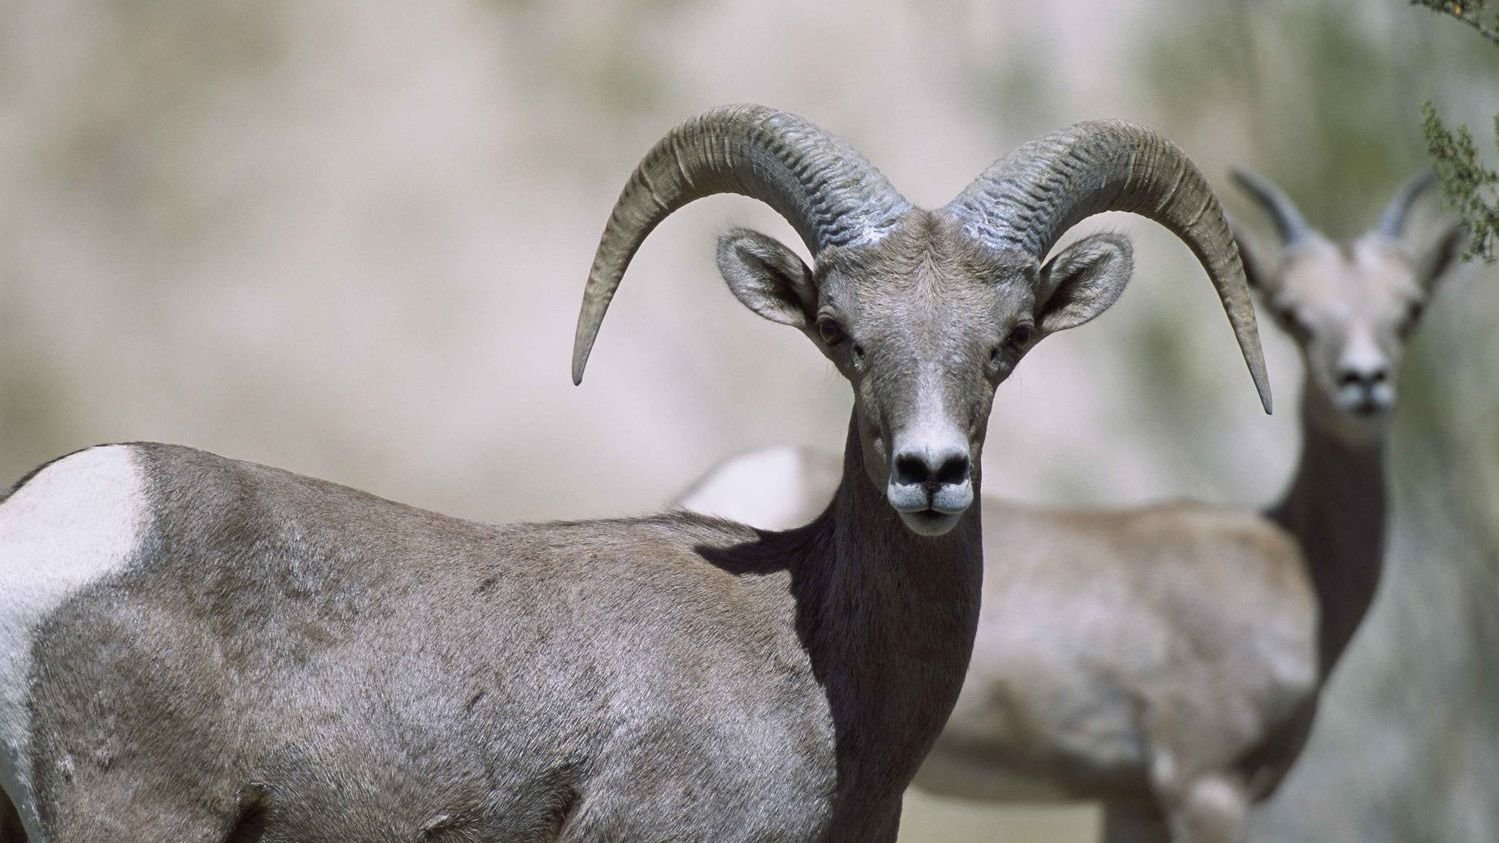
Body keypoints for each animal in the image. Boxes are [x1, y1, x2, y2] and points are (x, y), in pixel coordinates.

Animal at [677, 170, 1461, 842]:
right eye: (1294, 316)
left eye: (1410, 309)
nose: (1363, 383)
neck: (1293, 556)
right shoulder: (1204, 786)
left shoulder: (1132, 801)